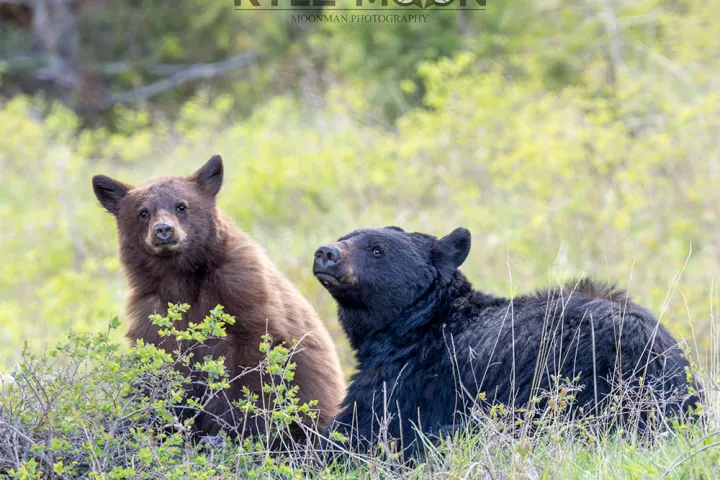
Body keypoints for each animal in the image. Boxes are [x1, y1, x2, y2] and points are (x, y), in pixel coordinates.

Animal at [92, 155, 346, 439]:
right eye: (143, 212)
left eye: (182, 206)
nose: (163, 230)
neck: (179, 279)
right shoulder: (152, 310)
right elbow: (164, 367)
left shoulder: (240, 289)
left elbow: (252, 365)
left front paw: (238, 426)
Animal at [313, 226, 699, 455]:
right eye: (346, 234)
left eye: (377, 249)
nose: (326, 252)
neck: (417, 323)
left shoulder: (409, 377)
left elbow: (364, 429)